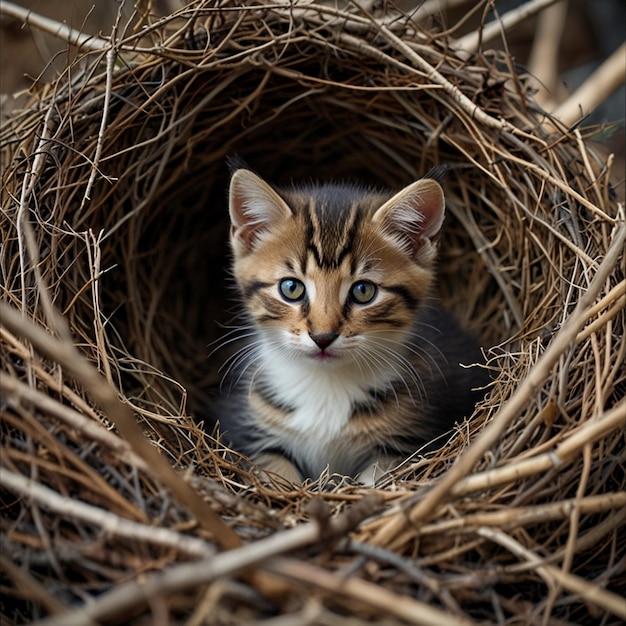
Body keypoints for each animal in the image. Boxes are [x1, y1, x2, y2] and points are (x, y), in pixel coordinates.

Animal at [207, 166, 486, 482]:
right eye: (291, 288)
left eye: (363, 291)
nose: (323, 336)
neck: (326, 383)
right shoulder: (248, 430)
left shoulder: (409, 441)